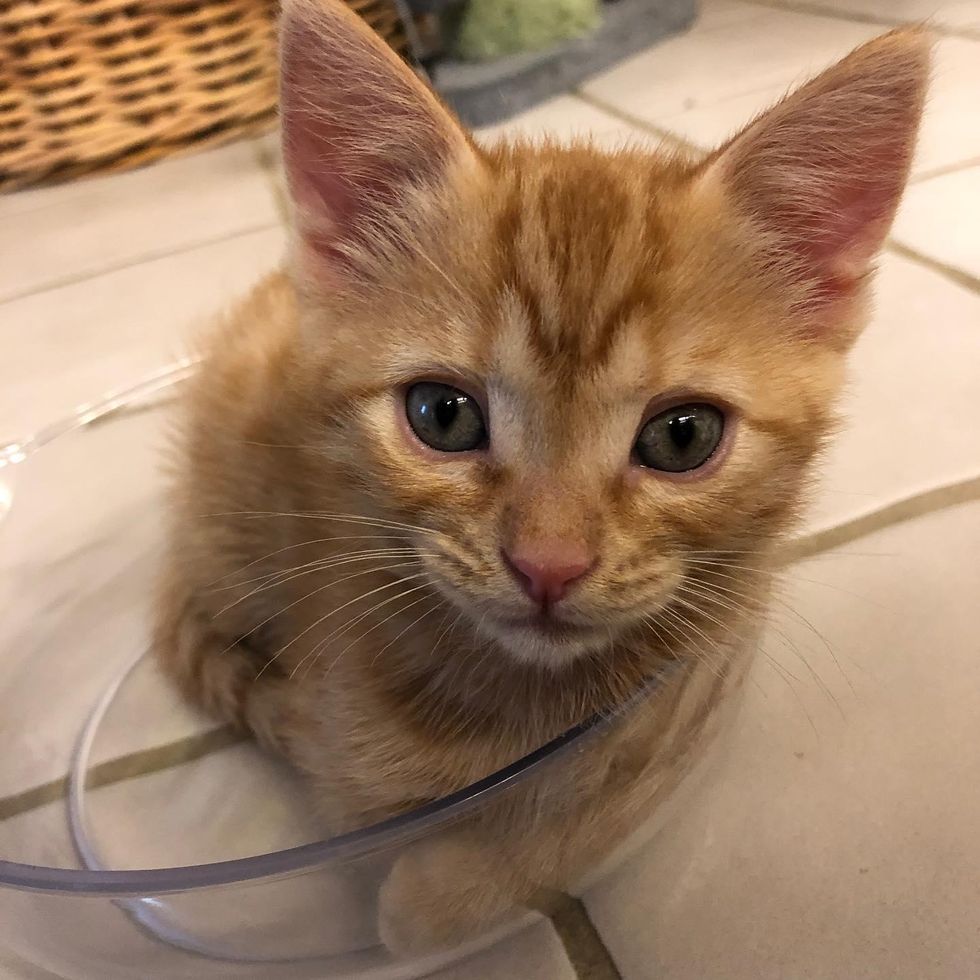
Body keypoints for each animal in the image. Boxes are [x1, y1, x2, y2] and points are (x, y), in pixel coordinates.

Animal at [153, 0, 928, 952]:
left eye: (682, 436)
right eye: (442, 415)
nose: (548, 566)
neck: (514, 703)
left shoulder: (688, 686)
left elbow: (573, 818)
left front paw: (451, 884)